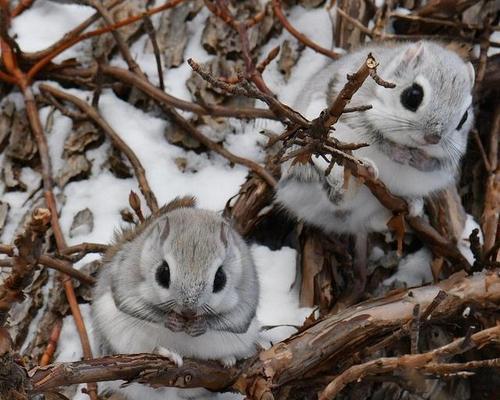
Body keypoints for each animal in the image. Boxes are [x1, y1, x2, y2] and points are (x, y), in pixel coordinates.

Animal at [91, 197, 262, 400]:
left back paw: (226, 358)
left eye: (220, 278)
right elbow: (132, 304)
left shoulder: (248, 291)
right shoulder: (125, 277)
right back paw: (166, 354)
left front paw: (200, 325)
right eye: (162, 273)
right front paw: (171, 320)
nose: (188, 310)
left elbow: (237, 319)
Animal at [276, 39, 474, 234]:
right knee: (337, 195)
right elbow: (375, 136)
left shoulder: (450, 158)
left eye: (464, 117)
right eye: (412, 95)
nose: (433, 138)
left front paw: (420, 160)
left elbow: (438, 163)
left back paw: (412, 205)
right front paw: (399, 153)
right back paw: (359, 174)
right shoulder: (355, 109)